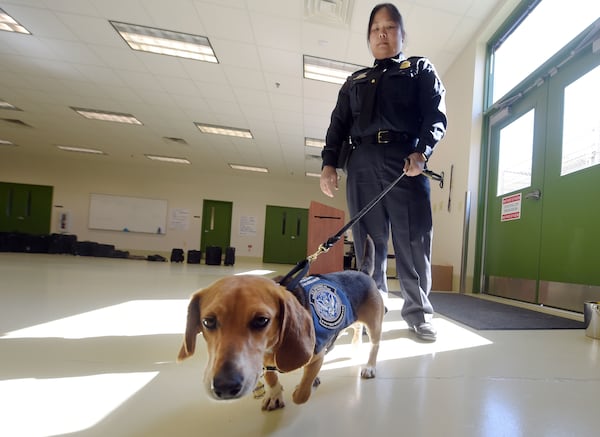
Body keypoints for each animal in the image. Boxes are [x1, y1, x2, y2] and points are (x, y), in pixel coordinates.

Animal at [178, 235, 384, 408]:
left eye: (262, 320)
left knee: (374, 346)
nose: (225, 386)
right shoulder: (267, 362)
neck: (272, 348)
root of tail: (362, 273)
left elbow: (302, 393)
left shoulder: (316, 356)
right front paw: (275, 394)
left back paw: (369, 367)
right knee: (356, 330)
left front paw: (304, 388)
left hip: (374, 326)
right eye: (207, 322)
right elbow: (271, 377)